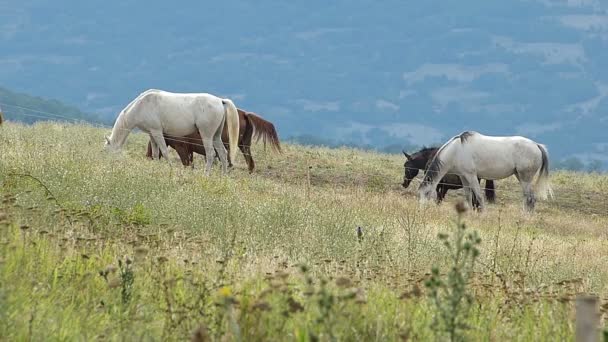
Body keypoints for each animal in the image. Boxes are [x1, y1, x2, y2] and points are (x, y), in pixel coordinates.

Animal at [103, 89, 239, 174]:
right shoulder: (152, 134)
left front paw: (170, 169)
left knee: (211, 154)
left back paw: (206, 175)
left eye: (107, 151)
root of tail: (220, 101)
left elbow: (164, 151)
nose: (109, 166)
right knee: (222, 153)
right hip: (216, 136)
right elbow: (155, 154)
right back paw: (223, 176)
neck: (141, 105)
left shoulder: (157, 132)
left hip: (207, 135)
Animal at [146, 109, 282, 172]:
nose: (148, 156)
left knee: (230, 163)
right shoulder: (189, 150)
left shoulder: (182, 148)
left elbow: (187, 164)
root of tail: (244, 114)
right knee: (250, 163)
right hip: (244, 146)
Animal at [418, 131, 552, 211]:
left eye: (427, 193)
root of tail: (536, 145)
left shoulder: (471, 176)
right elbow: (468, 196)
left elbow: (478, 196)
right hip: (520, 176)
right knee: (527, 197)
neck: (457, 150)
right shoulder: (463, 177)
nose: (421, 209)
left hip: (525, 178)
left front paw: (483, 214)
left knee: (530, 198)